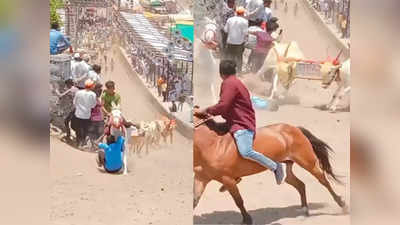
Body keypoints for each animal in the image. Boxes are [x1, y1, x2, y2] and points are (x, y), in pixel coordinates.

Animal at [194, 112, 346, 223]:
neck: (213, 145)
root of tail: (295, 129)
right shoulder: (201, 179)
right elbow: (195, 200)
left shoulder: (228, 180)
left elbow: (239, 201)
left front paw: (247, 220)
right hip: (288, 168)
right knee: (300, 184)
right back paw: (304, 211)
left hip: (308, 162)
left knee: (323, 181)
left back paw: (342, 204)